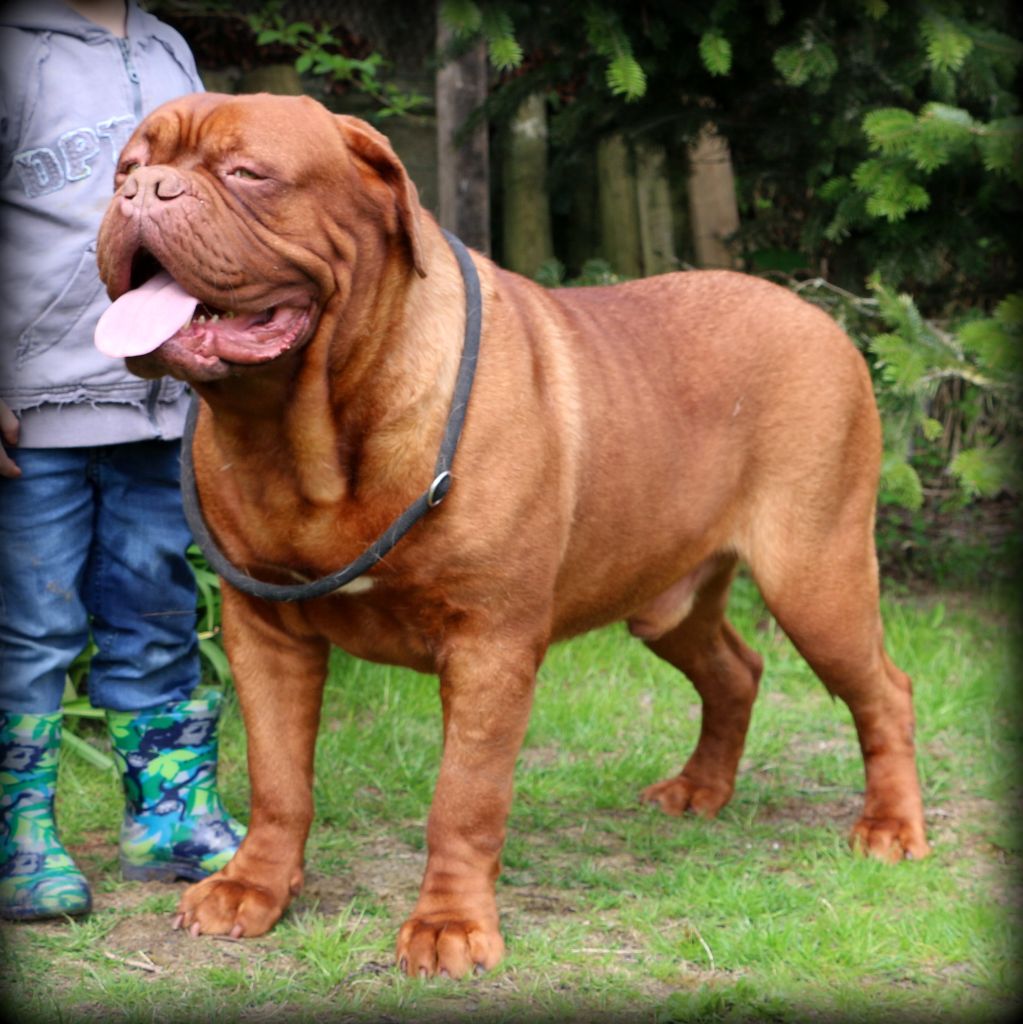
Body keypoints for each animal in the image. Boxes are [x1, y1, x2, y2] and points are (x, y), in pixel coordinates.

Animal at [95, 92, 929, 979]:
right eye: (124, 169)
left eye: (246, 173)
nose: (142, 190)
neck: (301, 432)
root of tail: (817, 317)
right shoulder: (265, 632)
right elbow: (279, 779)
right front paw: (252, 888)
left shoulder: (488, 644)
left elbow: (463, 797)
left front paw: (449, 926)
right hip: (669, 601)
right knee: (734, 670)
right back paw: (698, 790)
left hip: (816, 576)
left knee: (883, 692)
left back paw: (889, 828)